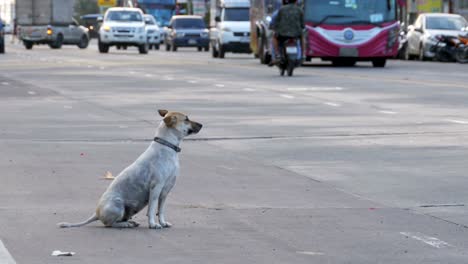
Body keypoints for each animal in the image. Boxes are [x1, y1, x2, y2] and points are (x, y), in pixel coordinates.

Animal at [57, 109, 202, 229]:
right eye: (186, 119)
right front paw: (153, 224)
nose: (201, 124)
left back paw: (130, 222)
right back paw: (125, 224)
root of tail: (96, 213)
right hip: (117, 205)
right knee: (110, 224)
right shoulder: (156, 187)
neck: (167, 146)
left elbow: (160, 210)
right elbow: (152, 209)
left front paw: (162, 222)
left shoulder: (165, 191)